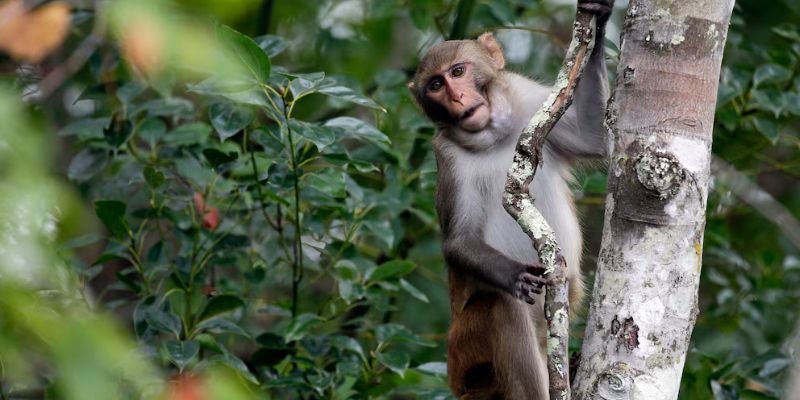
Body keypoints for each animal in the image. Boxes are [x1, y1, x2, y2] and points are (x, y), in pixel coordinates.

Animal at [408, 1, 613, 398]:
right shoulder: (448, 158)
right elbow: (459, 241)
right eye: (436, 85)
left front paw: (599, 22)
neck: (493, 137)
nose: (456, 98)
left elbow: (593, 136)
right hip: (467, 351)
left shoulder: (530, 99)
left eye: (458, 71)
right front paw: (515, 274)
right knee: (502, 308)